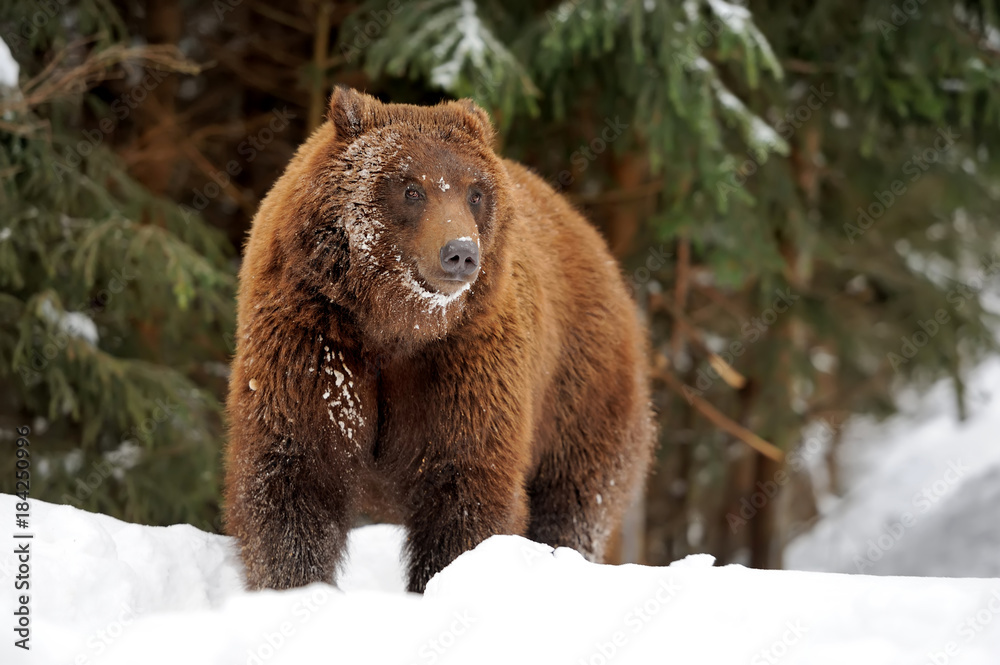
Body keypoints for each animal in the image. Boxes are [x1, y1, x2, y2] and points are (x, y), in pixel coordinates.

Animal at [223, 87, 656, 594]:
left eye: (475, 191)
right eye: (411, 188)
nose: (460, 253)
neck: (395, 325)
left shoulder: (464, 362)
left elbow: (465, 488)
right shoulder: (315, 342)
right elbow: (294, 478)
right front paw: (296, 585)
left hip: (580, 394)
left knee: (573, 503)